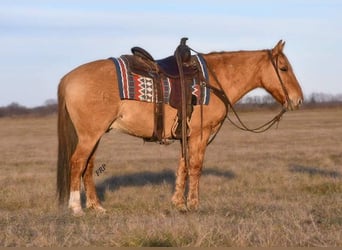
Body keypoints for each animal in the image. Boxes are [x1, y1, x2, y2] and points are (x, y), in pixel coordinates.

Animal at [57, 40, 304, 216]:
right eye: (283, 68)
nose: (298, 100)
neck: (213, 81)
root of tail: (69, 77)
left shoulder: (187, 135)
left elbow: (183, 166)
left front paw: (179, 203)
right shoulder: (201, 135)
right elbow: (195, 167)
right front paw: (194, 204)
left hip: (95, 135)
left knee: (88, 166)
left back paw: (96, 207)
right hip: (90, 135)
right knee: (77, 163)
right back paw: (76, 208)